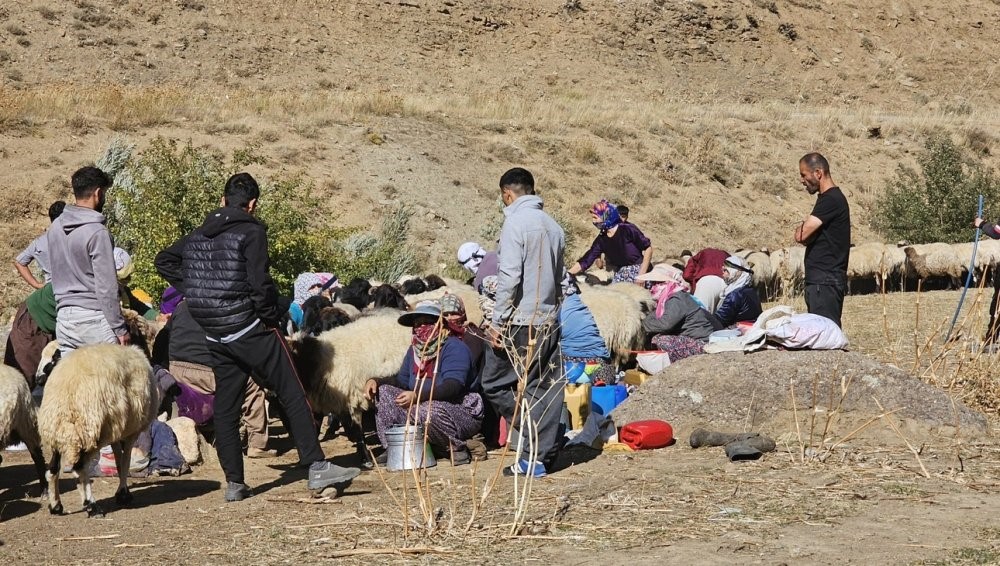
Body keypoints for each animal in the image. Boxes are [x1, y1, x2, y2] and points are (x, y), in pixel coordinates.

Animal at [38, 344, 158, 520]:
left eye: (51, 359)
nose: (38, 379)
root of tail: (64, 398)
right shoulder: (131, 432)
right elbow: (125, 460)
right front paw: (123, 494)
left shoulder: (116, 429)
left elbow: (118, 459)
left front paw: (122, 492)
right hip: (88, 433)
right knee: (80, 469)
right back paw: (92, 506)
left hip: (58, 434)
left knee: (52, 469)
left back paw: (56, 506)